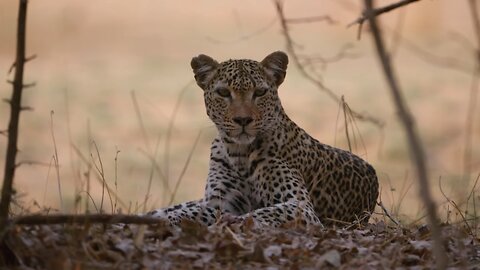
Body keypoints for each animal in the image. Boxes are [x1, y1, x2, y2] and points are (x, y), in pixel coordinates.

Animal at [146, 51, 378, 228]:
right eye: (223, 92)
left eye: (259, 92)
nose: (243, 120)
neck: (239, 152)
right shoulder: (220, 202)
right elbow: (192, 213)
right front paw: (165, 220)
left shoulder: (300, 206)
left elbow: (260, 213)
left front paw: (233, 224)